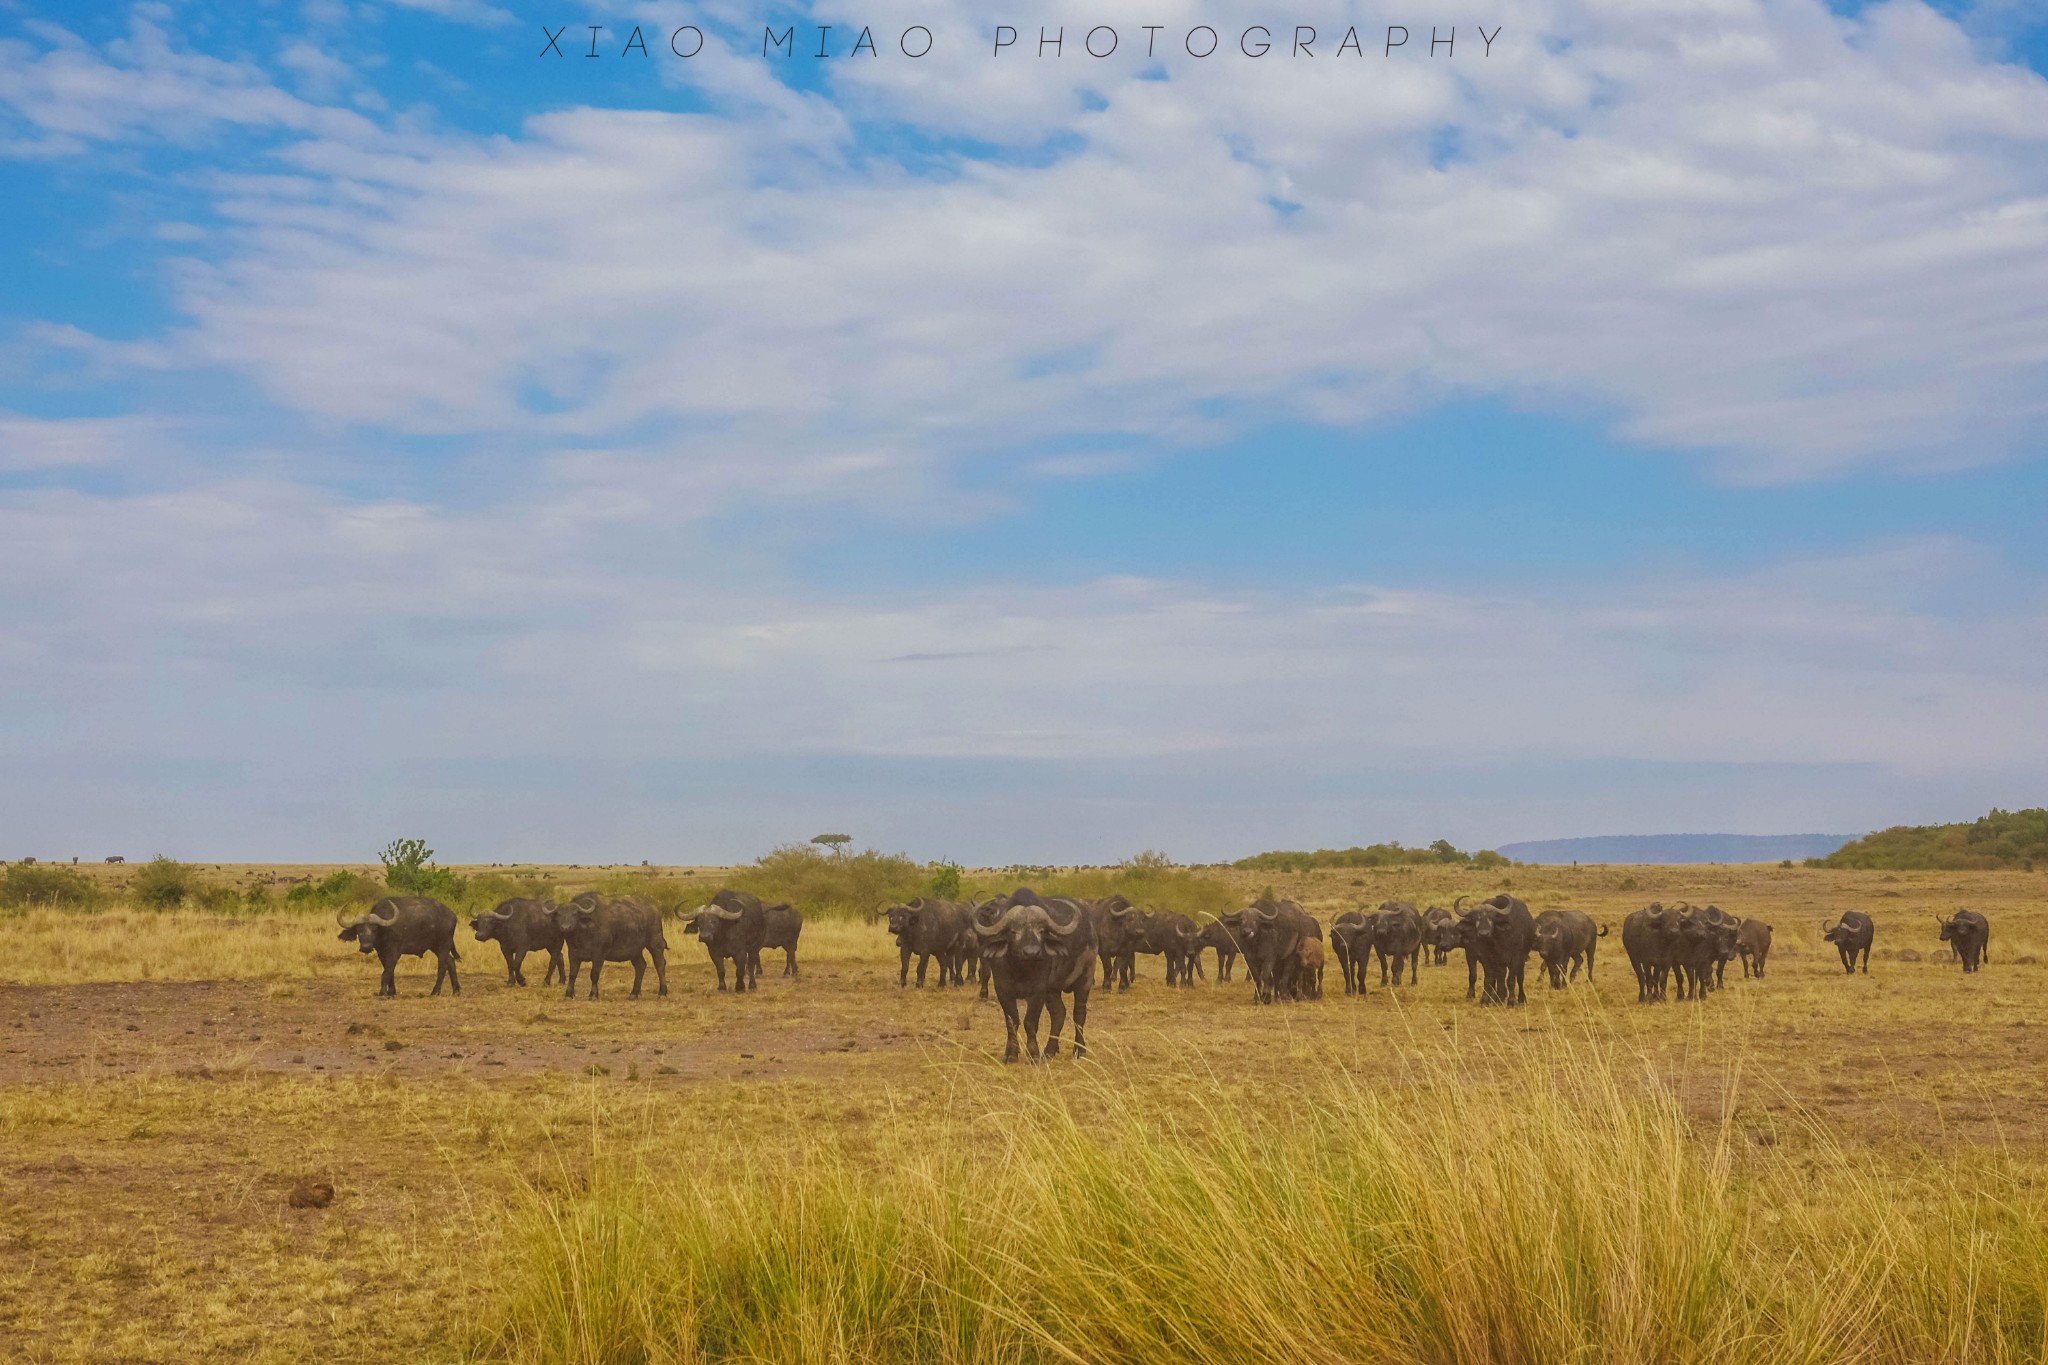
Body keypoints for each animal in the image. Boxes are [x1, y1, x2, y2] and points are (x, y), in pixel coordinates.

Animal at [970, 888, 1097, 1064]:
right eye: (1013, 931)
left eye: (1041, 931)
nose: (1032, 952)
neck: (1020, 969)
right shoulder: (1003, 989)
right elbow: (1012, 1020)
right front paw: (1011, 1054)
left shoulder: (1038, 991)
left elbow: (1030, 1021)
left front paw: (1033, 1054)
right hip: (1053, 990)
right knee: (1059, 1013)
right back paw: (1049, 1051)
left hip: (1085, 978)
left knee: (1079, 1014)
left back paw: (1080, 1050)